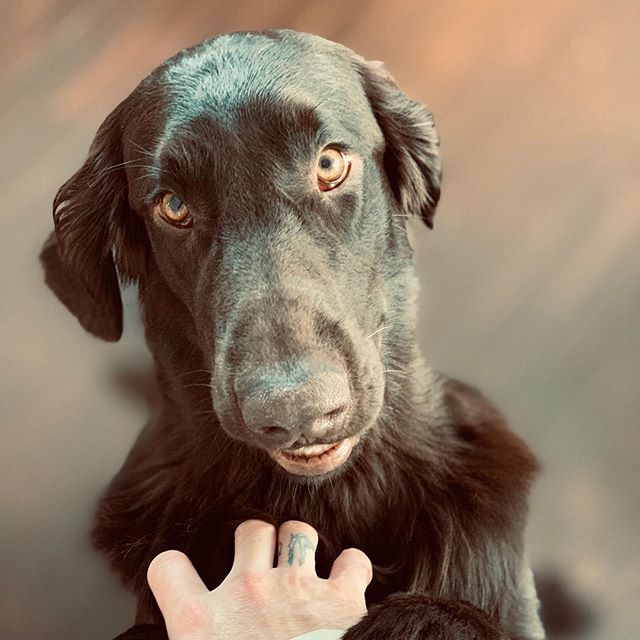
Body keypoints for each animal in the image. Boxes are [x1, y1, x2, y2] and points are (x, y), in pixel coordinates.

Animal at [40, 31, 544, 640]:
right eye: (174, 206)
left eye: (328, 163)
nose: (296, 410)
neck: (324, 499)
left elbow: (455, 616)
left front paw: (425, 617)